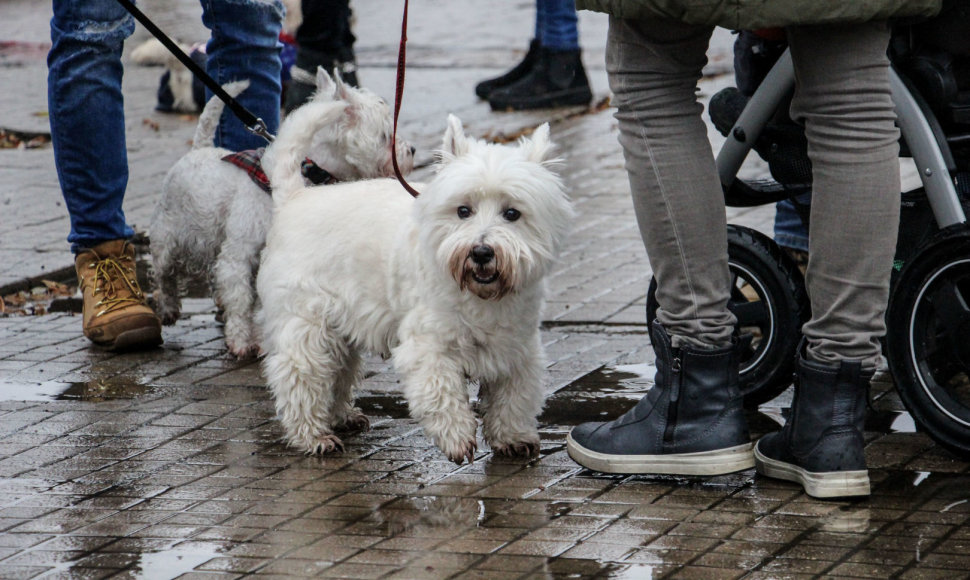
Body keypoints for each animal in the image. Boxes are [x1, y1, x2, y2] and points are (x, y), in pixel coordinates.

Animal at [150, 69, 412, 356]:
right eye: (386, 135)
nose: (411, 150)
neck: (308, 170)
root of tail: (199, 149)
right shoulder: (239, 255)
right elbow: (241, 300)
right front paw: (241, 341)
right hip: (170, 235)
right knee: (164, 273)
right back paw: (167, 309)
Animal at [258, 115, 576, 464]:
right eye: (463, 210)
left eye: (512, 213)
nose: (481, 253)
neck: (482, 297)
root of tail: (295, 198)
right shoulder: (428, 345)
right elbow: (441, 391)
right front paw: (457, 438)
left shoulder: (516, 346)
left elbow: (514, 396)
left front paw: (514, 437)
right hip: (308, 322)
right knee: (300, 375)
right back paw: (314, 436)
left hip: (342, 328)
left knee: (338, 373)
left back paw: (343, 417)